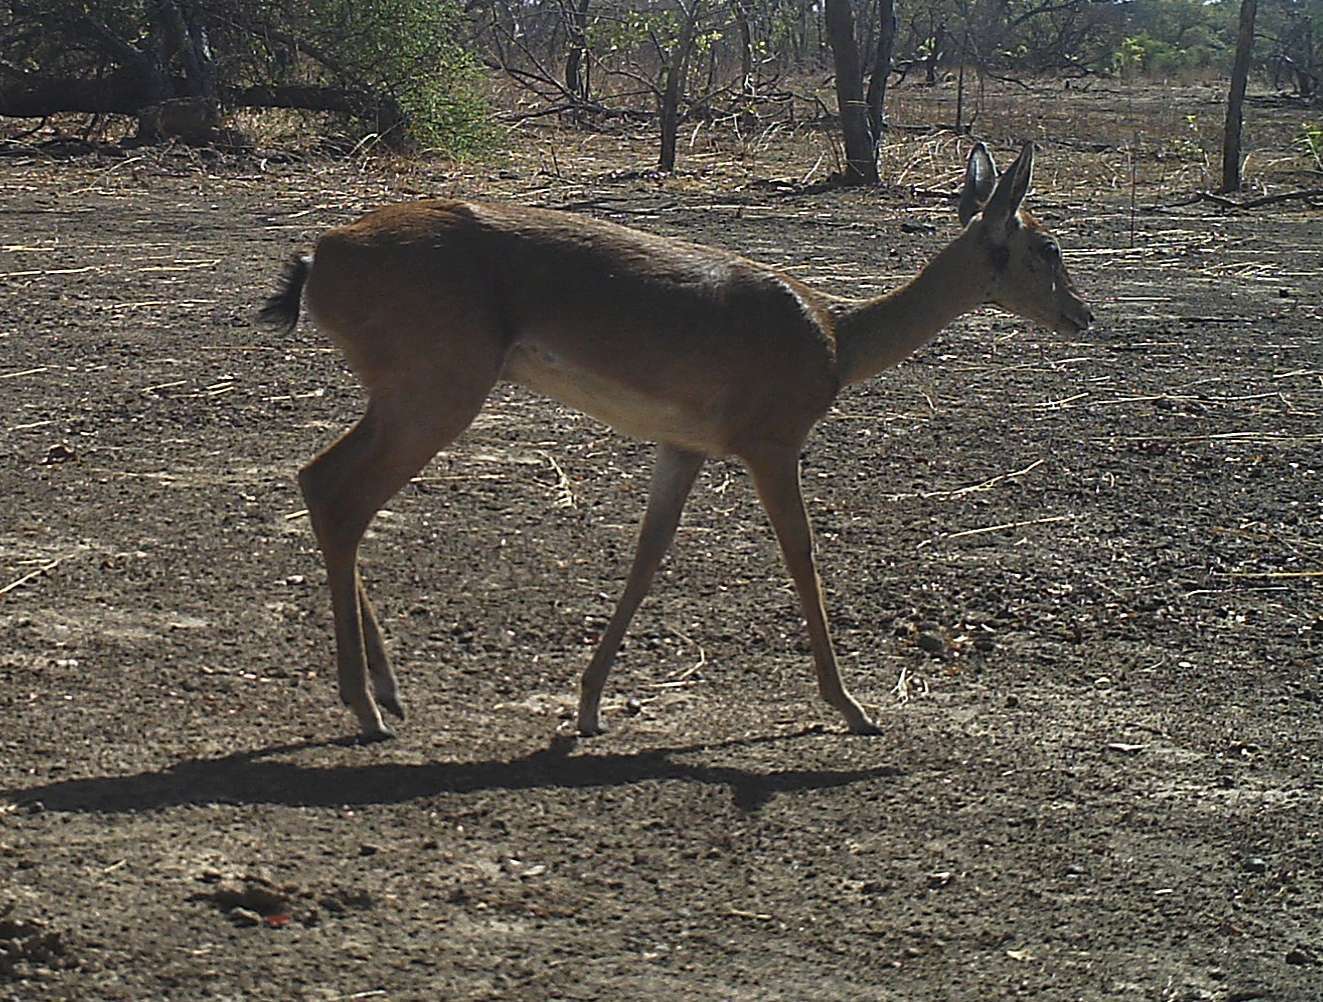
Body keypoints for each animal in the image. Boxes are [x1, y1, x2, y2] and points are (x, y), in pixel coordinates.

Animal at [260, 140, 1095, 741]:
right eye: (1047, 246)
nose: (1081, 315)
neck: (836, 334)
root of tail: (321, 253)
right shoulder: (771, 448)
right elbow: (801, 554)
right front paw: (853, 708)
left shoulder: (681, 448)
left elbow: (647, 555)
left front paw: (588, 707)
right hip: (434, 400)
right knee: (339, 495)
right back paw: (367, 710)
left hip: (406, 401)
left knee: (317, 482)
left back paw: (390, 694)